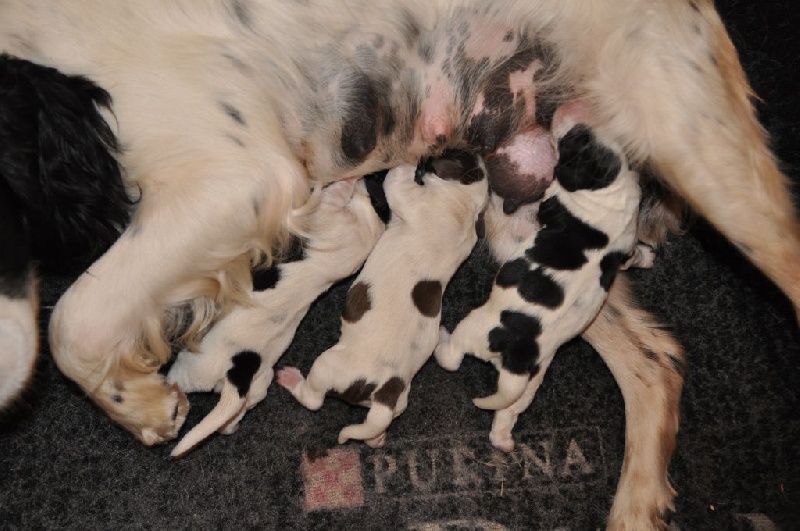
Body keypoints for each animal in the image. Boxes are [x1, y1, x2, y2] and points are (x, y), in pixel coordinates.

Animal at [166, 178, 384, 458]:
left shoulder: (328, 215)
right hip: (258, 384)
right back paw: (232, 425)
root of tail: (237, 373)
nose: (363, 179)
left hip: (189, 366)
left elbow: (332, 198)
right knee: (231, 418)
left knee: (176, 385)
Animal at [276, 154, 488, 448]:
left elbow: (396, 180)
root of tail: (385, 390)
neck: (465, 206)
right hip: (396, 403)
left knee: (313, 399)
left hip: (327, 366)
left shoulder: (409, 196)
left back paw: (291, 379)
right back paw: (377, 438)